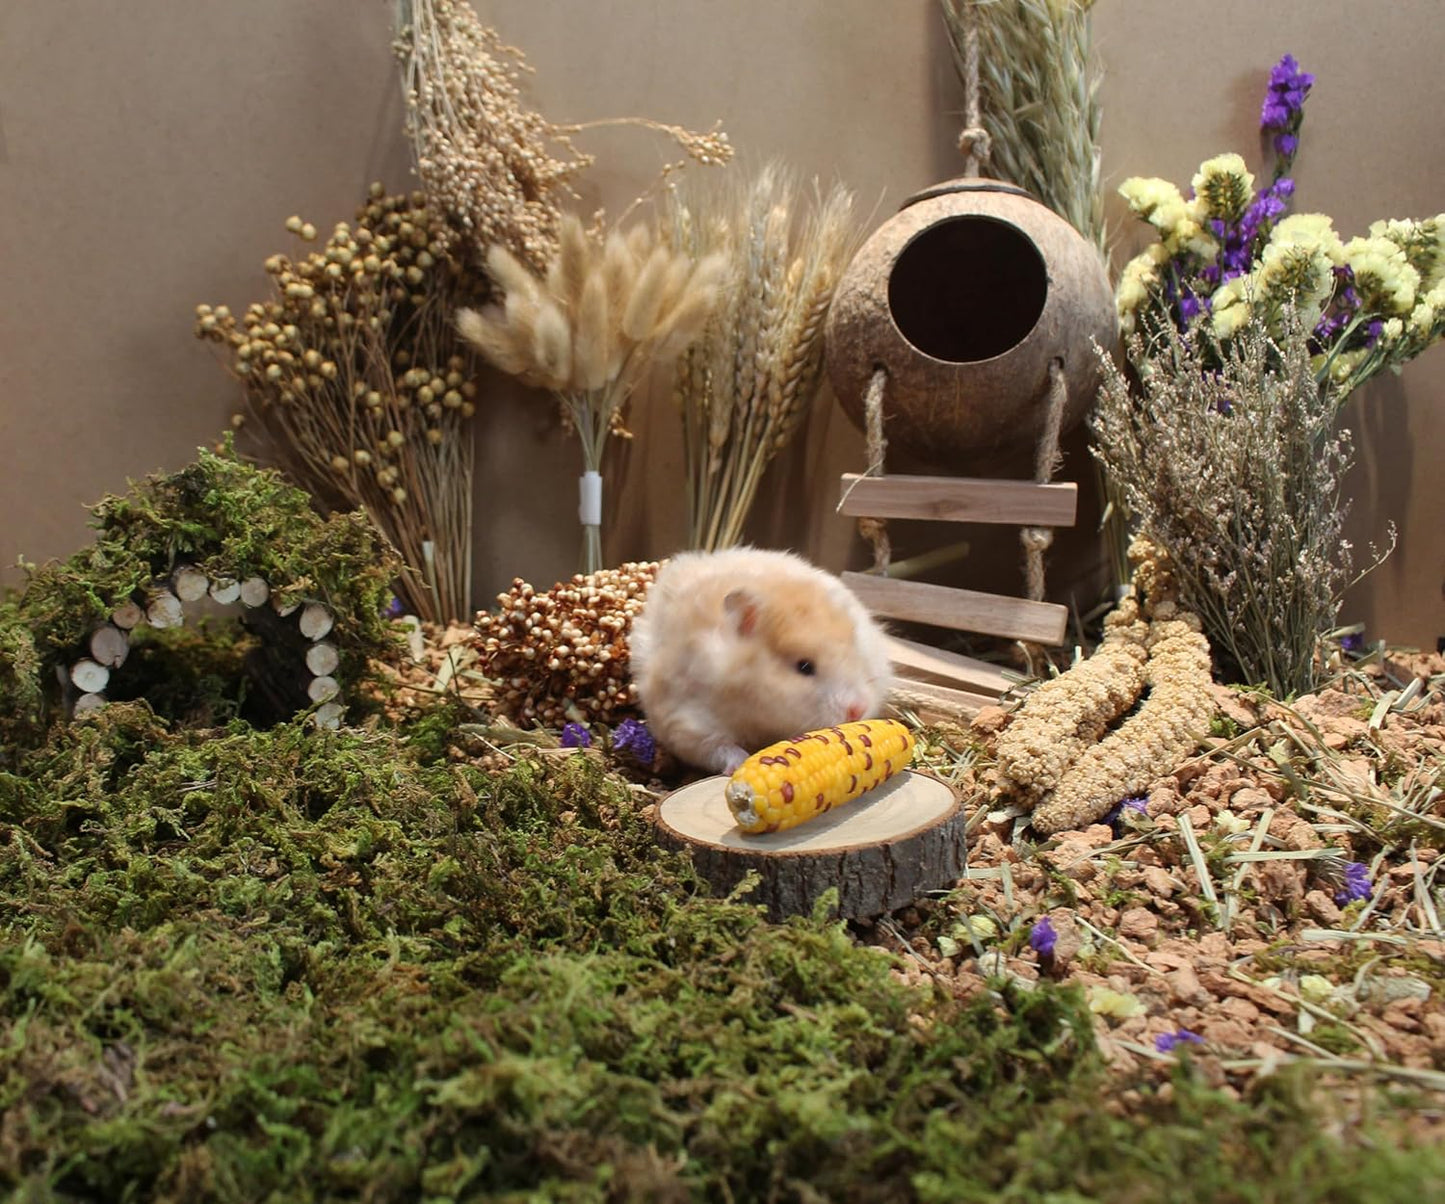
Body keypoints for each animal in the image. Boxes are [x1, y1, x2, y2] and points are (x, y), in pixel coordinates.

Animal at [628, 547, 894, 775]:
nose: (858, 709)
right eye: (804, 666)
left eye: (854, 654)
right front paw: (740, 764)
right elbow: (720, 746)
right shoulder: (688, 721)